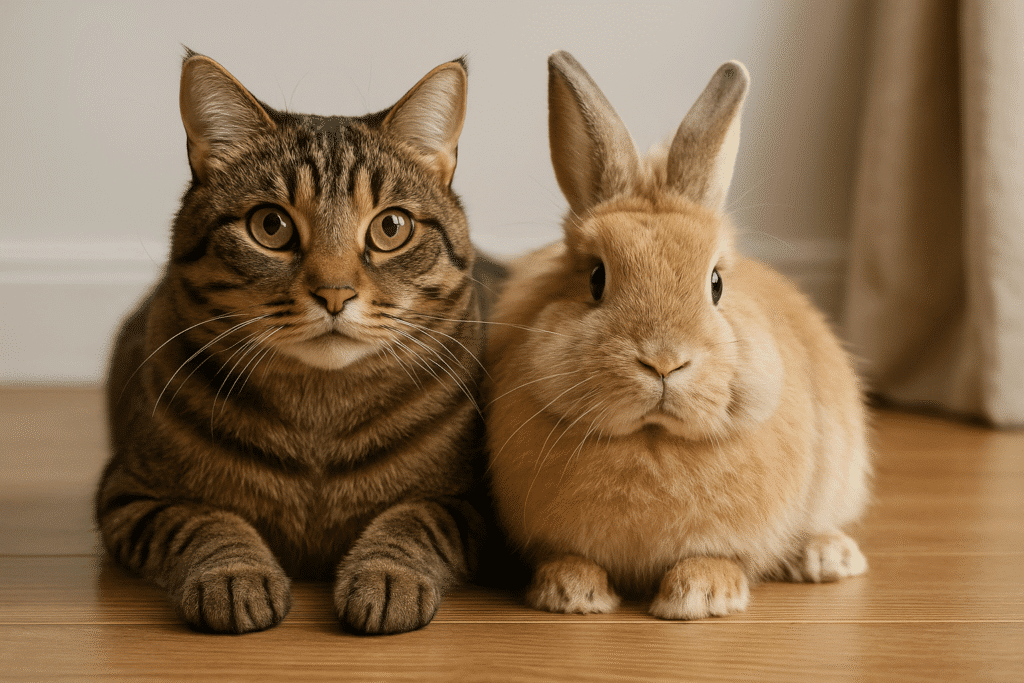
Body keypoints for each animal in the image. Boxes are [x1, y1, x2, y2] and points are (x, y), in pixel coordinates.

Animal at [482, 51, 870, 620]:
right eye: (596, 278)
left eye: (716, 283)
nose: (664, 362)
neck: (653, 439)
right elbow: (569, 556)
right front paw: (572, 594)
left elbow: (715, 557)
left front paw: (701, 597)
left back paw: (829, 558)